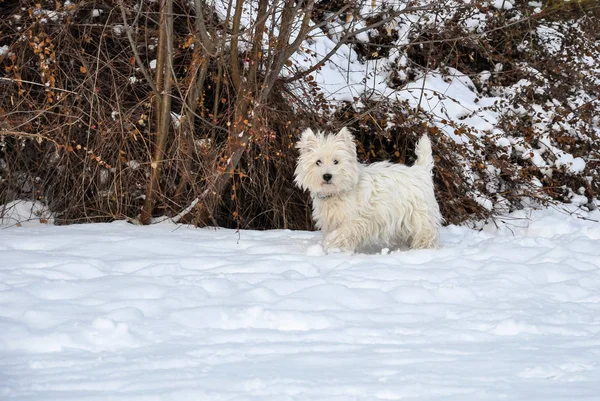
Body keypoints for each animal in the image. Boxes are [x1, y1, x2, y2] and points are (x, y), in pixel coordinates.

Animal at [292, 126, 442, 252]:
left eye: (336, 161)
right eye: (318, 162)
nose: (327, 176)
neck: (338, 192)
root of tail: (421, 171)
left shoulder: (357, 220)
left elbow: (342, 233)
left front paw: (332, 245)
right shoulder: (332, 220)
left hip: (419, 216)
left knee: (425, 233)